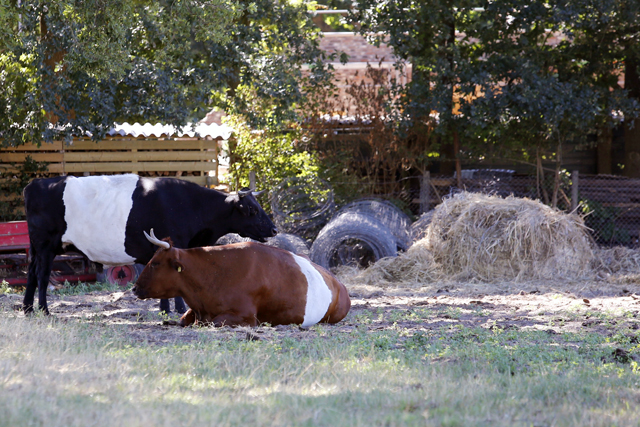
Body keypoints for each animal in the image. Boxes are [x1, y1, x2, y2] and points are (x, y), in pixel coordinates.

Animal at [21, 173, 278, 314]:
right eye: (252, 210)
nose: (274, 229)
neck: (191, 204)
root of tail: (35, 184)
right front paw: (176, 310)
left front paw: (167, 309)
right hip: (46, 245)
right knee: (42, 275)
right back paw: (44, 310)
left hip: (38, 247)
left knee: (31, 273)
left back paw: (27, 309)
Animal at [131, 231, 350, 328]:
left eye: (155, 263)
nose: (135, 288)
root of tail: (340, 285)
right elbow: (184, 319)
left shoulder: (246, 316)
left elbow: (214, 322)